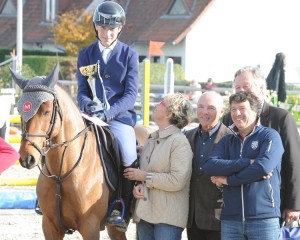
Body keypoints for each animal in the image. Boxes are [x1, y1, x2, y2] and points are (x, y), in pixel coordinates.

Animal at [10, 64, 151, 239]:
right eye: (20, 111)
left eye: (46, 111)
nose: (26, 158)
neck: (61, 173)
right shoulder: (50, 226)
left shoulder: (90, 226)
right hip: (113, 227)